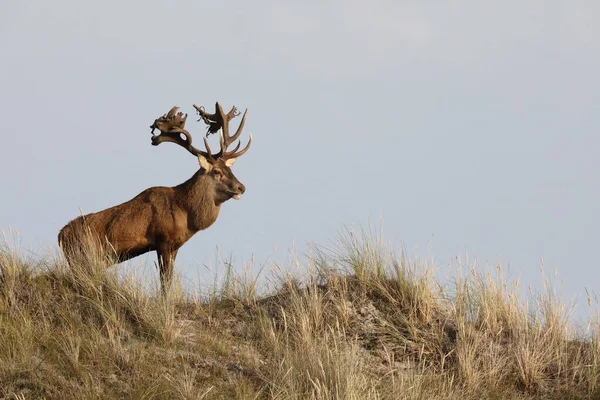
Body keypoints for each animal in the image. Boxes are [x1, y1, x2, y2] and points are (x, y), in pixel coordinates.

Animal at [58, 101, 251, 292]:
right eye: (217, 172)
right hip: (82, 257)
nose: (241, 187)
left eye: (230, 169)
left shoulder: (174, 246)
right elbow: (164, 282)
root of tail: (60, 235)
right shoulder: (163, 241)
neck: (186, 213)